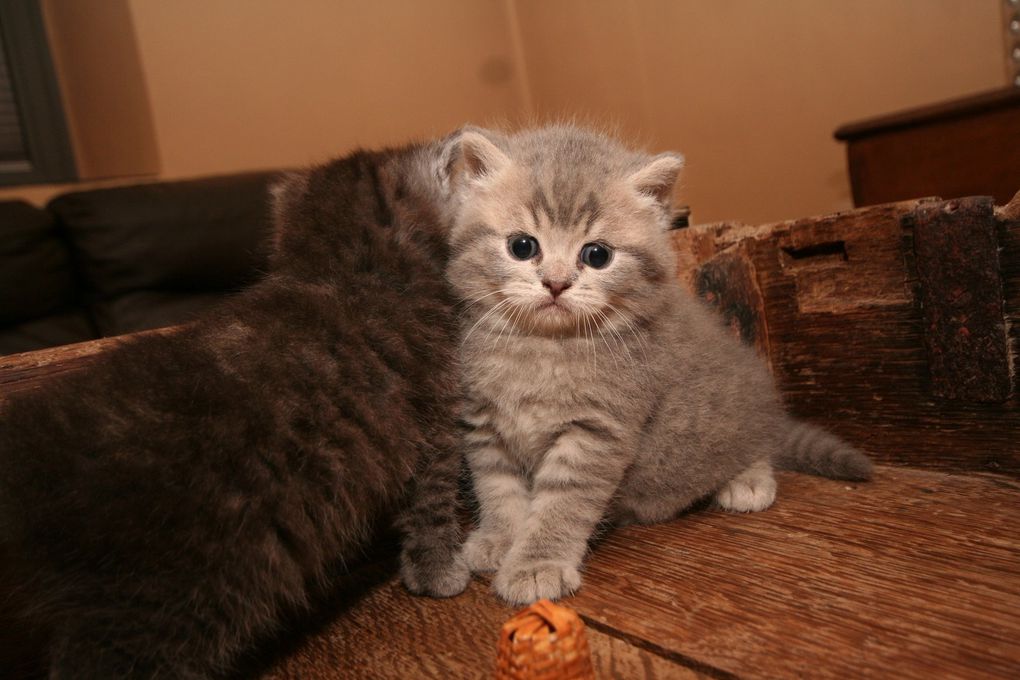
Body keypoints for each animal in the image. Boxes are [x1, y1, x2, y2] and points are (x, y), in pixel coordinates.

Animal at [442, 126, 873, 607]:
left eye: (597, 255)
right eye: (522, 246)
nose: (556, 284)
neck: (542, 350)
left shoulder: (597, 432)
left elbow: (563, 503)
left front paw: (538, 564)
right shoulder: (483, 425)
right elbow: (497, 488)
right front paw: (499, 539)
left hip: (734, 413)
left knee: (753, 441)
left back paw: (747, 478)